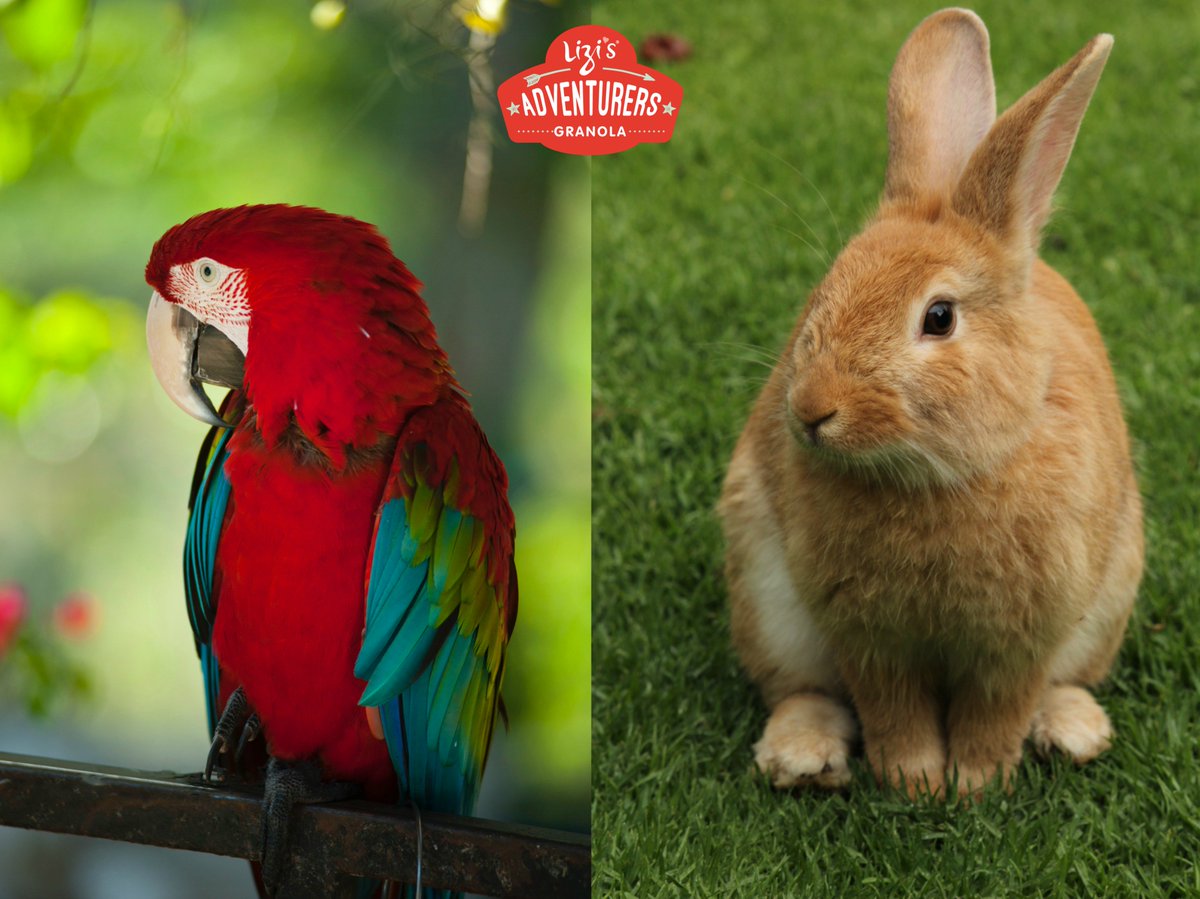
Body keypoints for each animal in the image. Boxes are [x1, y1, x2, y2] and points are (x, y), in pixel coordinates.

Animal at [718, 8, 1143, 799]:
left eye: (938, 318)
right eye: (823, 291)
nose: (813, 410)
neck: (938, 477)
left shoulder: (1021, 640)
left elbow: (997, 709)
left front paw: (975, 785)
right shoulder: (867, 637)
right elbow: (892, 708)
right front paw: (914, 780)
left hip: (1107, 605)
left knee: (1064, 682)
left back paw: (1073, 733)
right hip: (766, 602)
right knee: (802, 690)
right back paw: (803, 760)